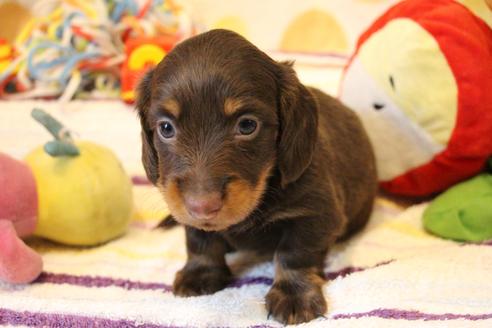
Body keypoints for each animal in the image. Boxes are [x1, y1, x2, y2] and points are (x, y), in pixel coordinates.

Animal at [136, 29, 378, 324]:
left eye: (248, 125)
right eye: (166, 128)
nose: (202, 207)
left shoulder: (316, 213)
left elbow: (295, 253)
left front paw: (294, 294)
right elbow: (199, 240)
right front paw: (200, 272)